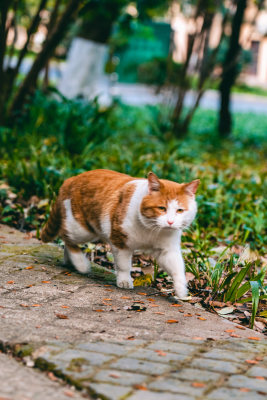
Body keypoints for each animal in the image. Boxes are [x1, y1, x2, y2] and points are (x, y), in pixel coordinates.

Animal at [42, 168, 200, 296]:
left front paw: (181, 289)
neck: (151, 230)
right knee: (66, 237)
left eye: (180, 210)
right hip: (82, 230)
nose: (170, 222)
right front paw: (124, 280)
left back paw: (70, 262)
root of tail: (70, 179)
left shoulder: (167, 250)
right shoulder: (120, 241)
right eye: (162, 208)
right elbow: (124, 265)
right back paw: (80, 263)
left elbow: (178, 268)